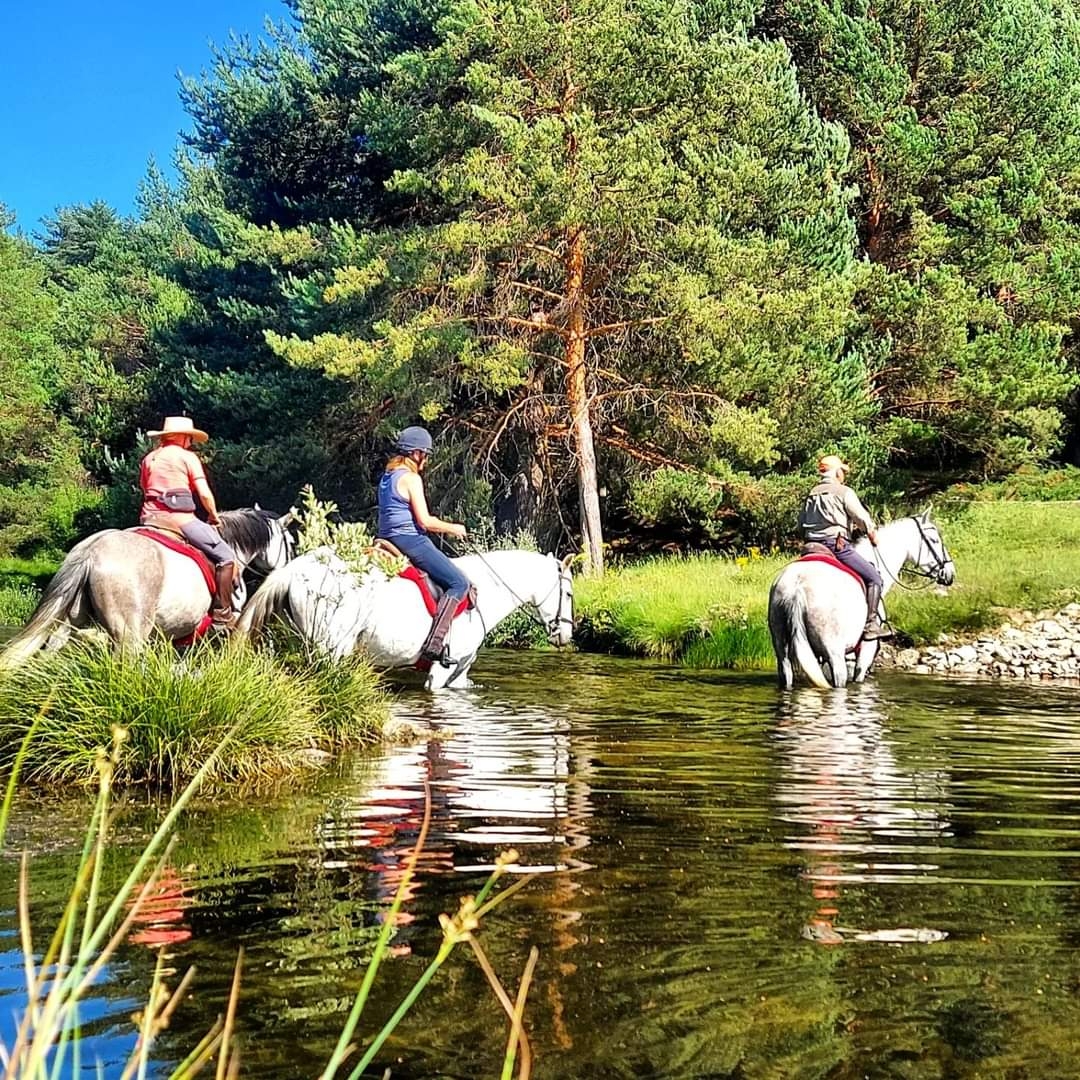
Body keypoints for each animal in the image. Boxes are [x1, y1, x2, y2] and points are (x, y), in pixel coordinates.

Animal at [235, 547, 575, 690]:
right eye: (570, 594)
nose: (566, 635)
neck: (486, 593)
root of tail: (297, 567)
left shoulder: (462, 669)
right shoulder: (440, 671)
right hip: (330, 649)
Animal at [767, 512, 956, 690]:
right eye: (934, 540)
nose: (950, 573)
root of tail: (797, 587)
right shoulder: (866, 651)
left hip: (782, 651)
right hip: (835, 655)